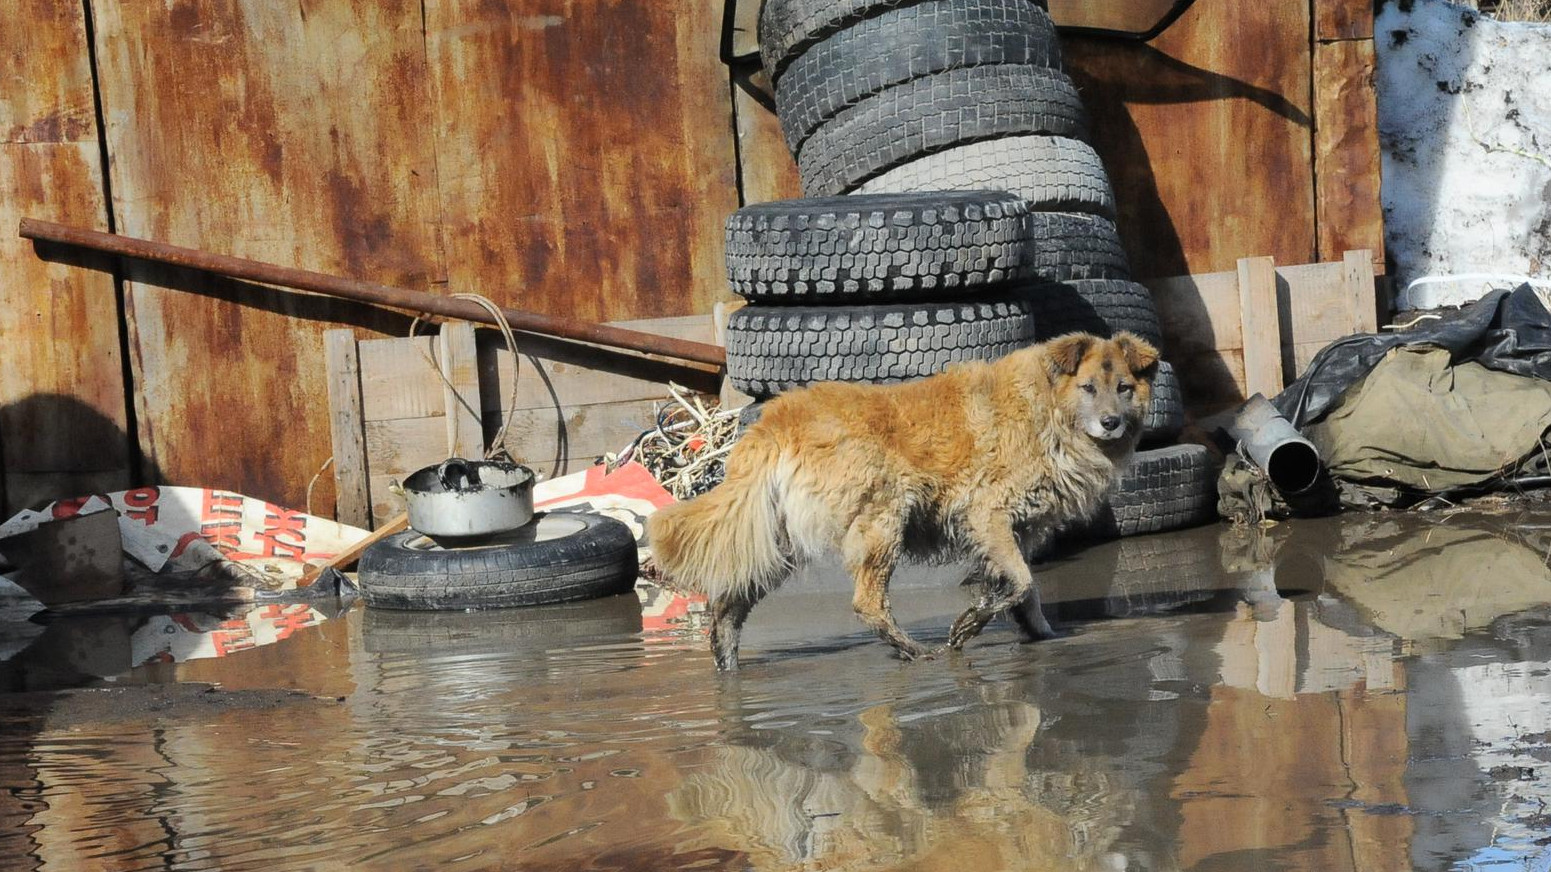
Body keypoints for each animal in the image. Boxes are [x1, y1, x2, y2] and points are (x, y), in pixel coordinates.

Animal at [645, 330, 1166, 664]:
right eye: (1089, 388)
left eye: (1124, 388)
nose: (1111, 423)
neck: (1047, 410)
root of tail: (775, 419)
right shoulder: (987, 513)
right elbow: (1018, 582)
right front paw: (969, 625)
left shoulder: (1022, 529)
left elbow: (1027, 589)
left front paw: (1040, 632)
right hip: (882, 522)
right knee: (867, 603)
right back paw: (913, 650)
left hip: (780, 539)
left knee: (730, 603)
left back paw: (726, 659)